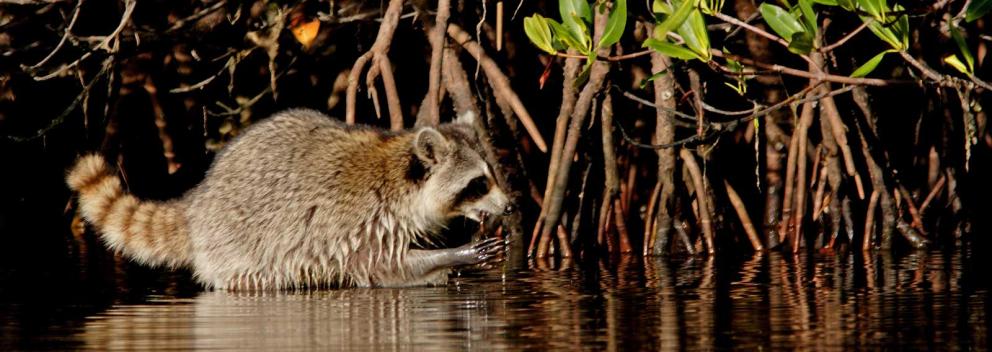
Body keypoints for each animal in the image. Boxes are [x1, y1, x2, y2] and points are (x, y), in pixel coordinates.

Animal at [66, 108, 512, 290]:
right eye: (478, 184)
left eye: (492, 175)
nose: (509, 206)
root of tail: (198, 201)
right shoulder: (363, 221)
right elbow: (384, 269)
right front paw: (457, 254)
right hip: (235, 250)